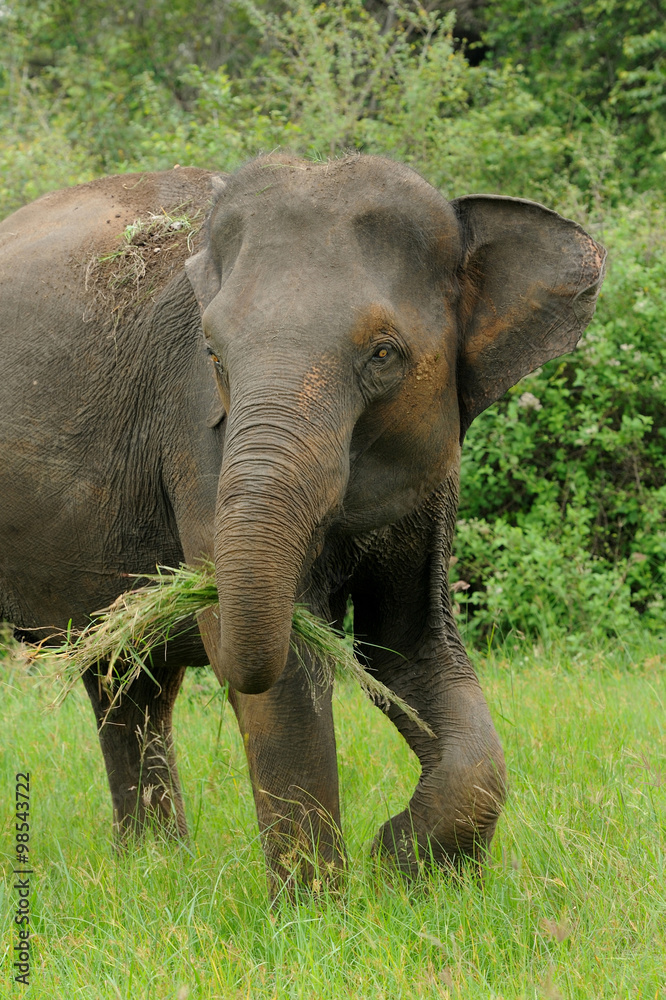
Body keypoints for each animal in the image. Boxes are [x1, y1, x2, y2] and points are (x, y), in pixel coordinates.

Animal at [0, 154, 605, 893]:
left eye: (383, 353)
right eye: (213, 354)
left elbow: (408, 646)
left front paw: (402, 867)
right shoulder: (195, 433)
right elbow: (282, 669)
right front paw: (320, 907)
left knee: (126, 678)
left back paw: (153, 864)